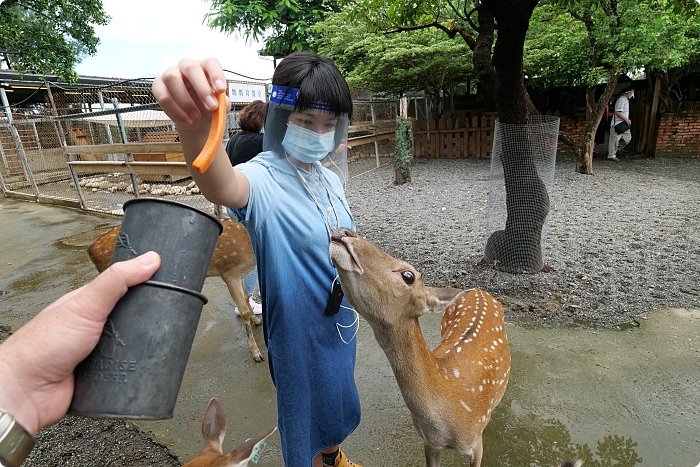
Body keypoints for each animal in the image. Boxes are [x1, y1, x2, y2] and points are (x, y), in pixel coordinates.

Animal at [87, 218, 262, 362]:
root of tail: (91, 249)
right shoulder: (229, 273)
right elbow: (243, 311)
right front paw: (256, 353)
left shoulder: (240, 275)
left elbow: (246, 298)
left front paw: (257, 320)